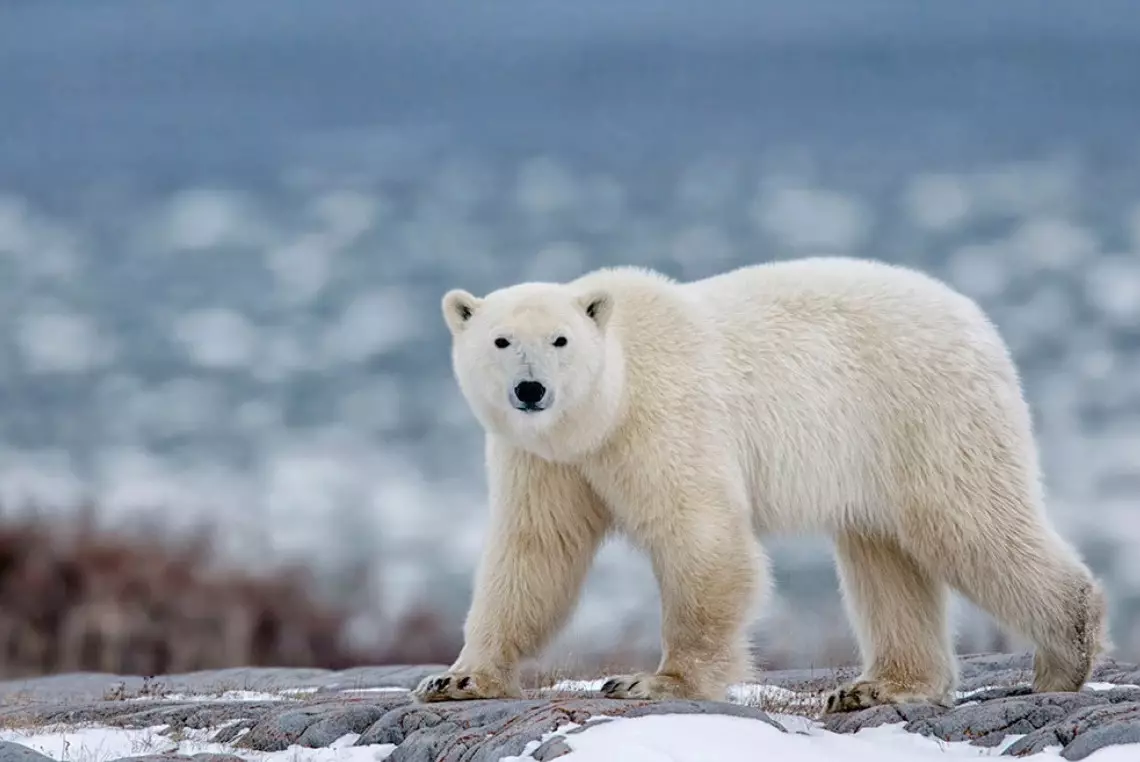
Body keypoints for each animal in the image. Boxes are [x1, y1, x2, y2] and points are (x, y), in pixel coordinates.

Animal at [414, 257, 1108, 716]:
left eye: (560, 340)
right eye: (501, 340)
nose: (531, 390)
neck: (606, 406)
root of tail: (976, 319)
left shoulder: (664, 417)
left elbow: (700, 535)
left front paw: (652, 682)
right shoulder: (544, 459)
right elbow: (535, 552)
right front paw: (457, 680)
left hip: (925, 412)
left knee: (969, 523)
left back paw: (1065, 653)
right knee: (884, 557)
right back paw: (877, 686)